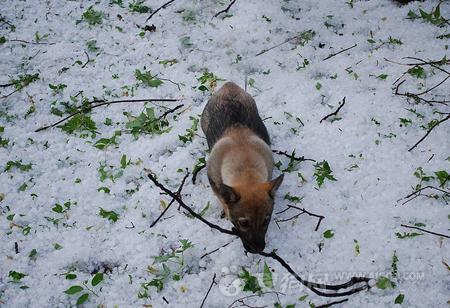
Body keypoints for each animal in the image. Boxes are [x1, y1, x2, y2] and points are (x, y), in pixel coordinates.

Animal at [201, 81, 284, 253]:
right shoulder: (214, 182)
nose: (257, 249)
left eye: (266, 221)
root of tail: (229, 85)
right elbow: (222, 199)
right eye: (244, 223)